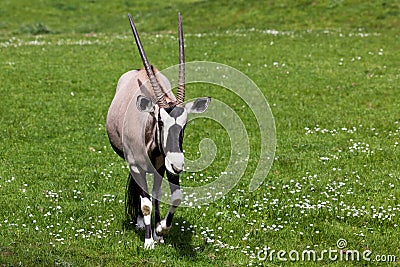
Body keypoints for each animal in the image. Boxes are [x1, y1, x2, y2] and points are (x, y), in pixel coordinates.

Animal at [106, 13, 212, 250]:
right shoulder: (136, 166)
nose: (178, 165)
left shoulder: (164, 167)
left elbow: (171, 197)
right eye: (160, 122)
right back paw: (140, 223)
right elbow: (145, 203)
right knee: (141, 193)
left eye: (185, 124)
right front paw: (148, 241)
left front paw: (161, 230)